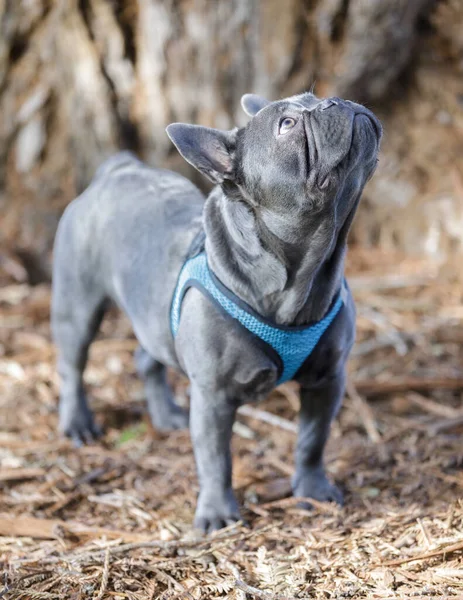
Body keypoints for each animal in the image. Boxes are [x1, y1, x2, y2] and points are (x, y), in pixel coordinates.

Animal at [52, 92, 382, 536]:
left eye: (313, 99)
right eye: (287, 124)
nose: (335, 100)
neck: (303, 275)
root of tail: (116, 170)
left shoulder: (327, 380)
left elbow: (313, 440)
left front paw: (313, 490)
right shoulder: (213, 396)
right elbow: (216, 458)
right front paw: (217, 513)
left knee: (147, 356)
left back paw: (165, 414)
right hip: (78, 305)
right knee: (73, 365)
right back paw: (78, 423)